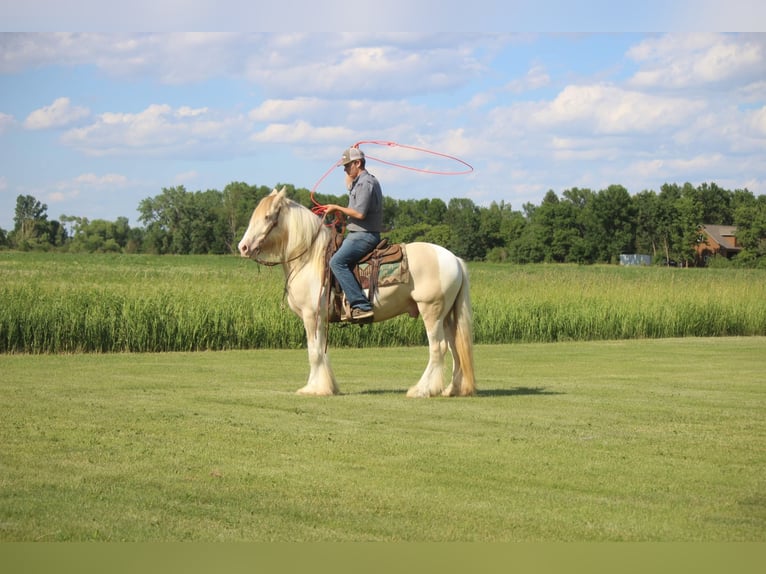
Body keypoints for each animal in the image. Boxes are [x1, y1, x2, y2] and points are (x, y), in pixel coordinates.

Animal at [237, 187, 476, 398]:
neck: (310, 258)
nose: (243, 247)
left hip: (431, 311)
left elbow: (314, 352)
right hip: (447, 316)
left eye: (268, 216)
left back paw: (422, 390)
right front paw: (327, 386)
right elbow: (320, 351)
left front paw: (314, 389)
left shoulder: (311, 316)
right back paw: (452, 389)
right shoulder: (320, 319)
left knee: (438, 348)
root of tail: (454, 259)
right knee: (455, 347)